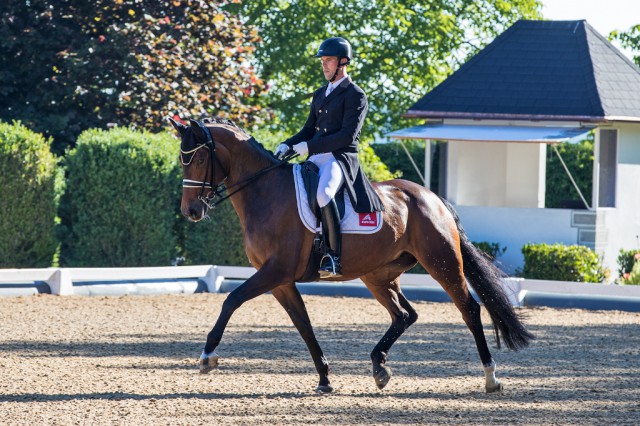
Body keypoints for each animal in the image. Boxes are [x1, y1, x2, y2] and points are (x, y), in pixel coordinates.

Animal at [168, 116, 532, 392]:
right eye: (182, 160)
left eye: (198, 159)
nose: (191, 211)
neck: (265, 193)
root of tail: (431, 196)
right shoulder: (281, 281)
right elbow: (304, 325)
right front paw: (325, 379)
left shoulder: (274, 272)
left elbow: (232, 300)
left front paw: (207, 356)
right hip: (377, 274)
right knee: (405, 314)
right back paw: (379, 367)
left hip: (441, 262)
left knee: (468, 308)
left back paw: (491, 377)